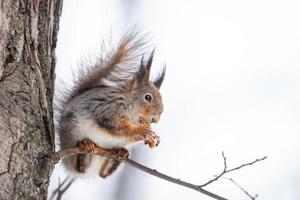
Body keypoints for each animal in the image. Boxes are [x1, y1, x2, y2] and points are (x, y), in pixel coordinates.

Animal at [55, 32, 165, 178]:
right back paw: (85, 149)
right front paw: (142, 131)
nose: (156, 119)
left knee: (103, 173)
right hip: (72, 132)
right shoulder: (109, 109)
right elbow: (117, 126)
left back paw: (119, 155)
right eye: (148, 97)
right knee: (78, 167)